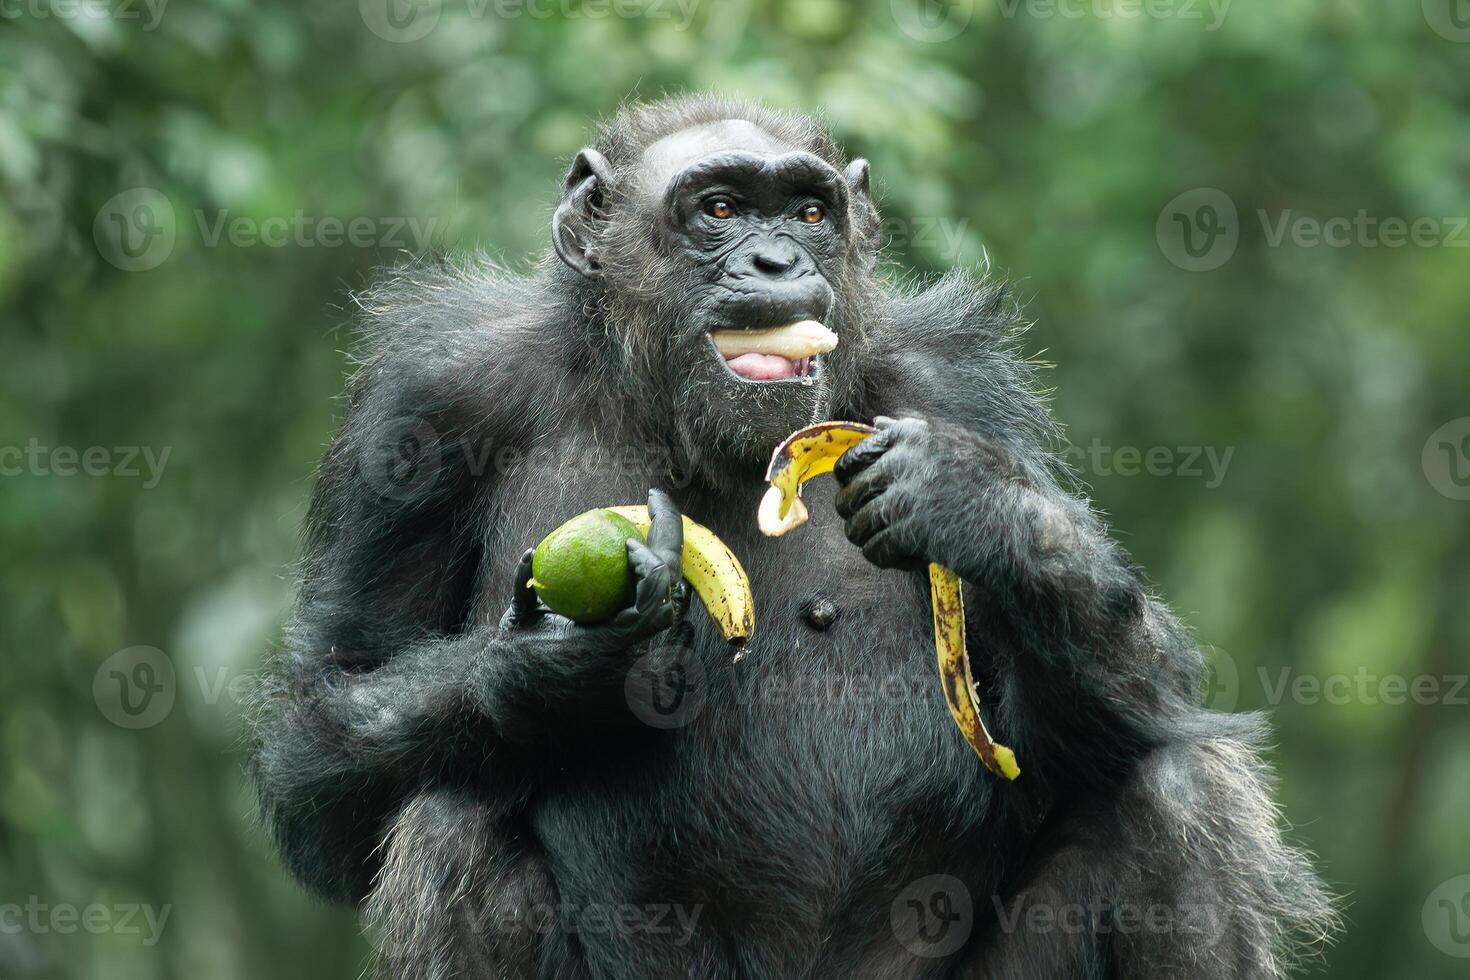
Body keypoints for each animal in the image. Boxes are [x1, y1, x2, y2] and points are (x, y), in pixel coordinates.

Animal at [252, 97, 1334, 980]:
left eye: (810, 212)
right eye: (721, 208)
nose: (778, 261)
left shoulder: (961, 384)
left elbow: (1113, 716)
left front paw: (981, 506)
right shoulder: (420, 408)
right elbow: (326, 727)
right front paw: (563, 668)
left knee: (1170, 789)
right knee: (452, 820)